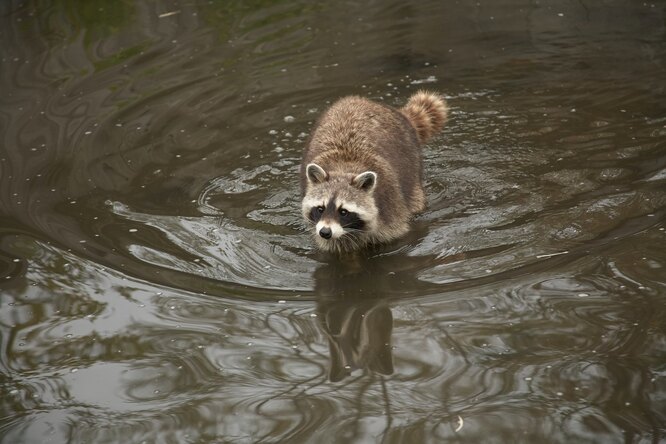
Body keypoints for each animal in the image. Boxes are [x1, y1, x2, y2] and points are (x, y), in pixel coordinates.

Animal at [300, 90, 446, 253]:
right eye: (320, 208)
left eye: (343, 211)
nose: (325, 232)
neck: (344, 168)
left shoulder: (390, 207)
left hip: (412, 168)